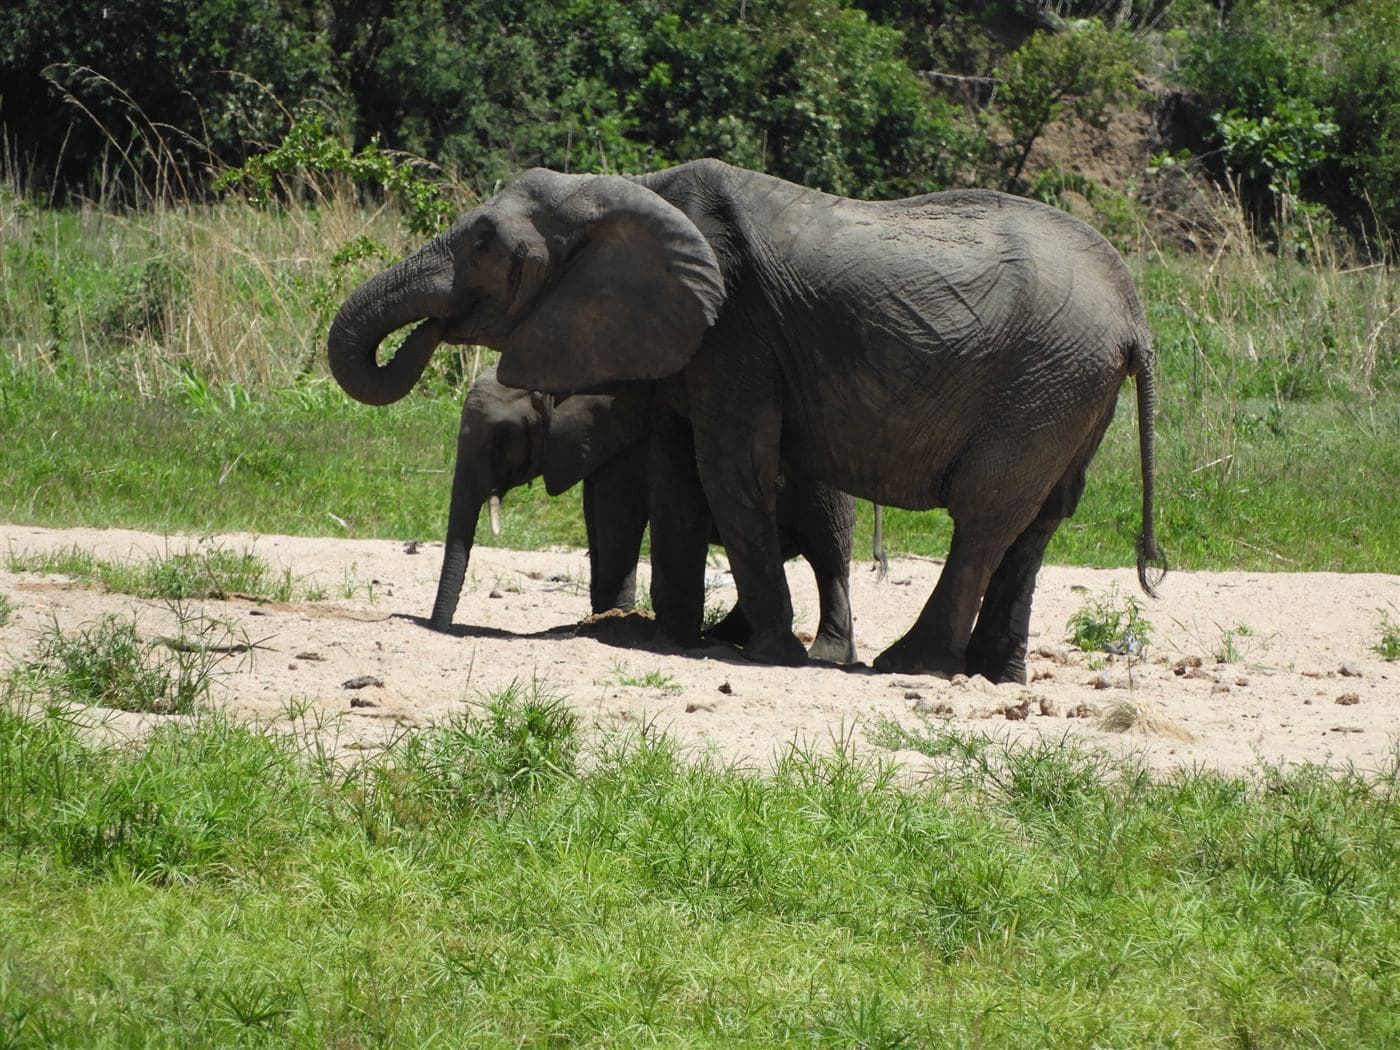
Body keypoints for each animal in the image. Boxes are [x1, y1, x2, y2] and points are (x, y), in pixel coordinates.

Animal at [426, 363, 859, 664]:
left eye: (503, 435)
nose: (439, 629)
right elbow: (596, 509)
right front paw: (607, 617)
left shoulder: (625, 425)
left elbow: (618, 508)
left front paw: (615, 619)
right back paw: (724, 636)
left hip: (824, 486)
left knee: (828, 555)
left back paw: (825, 653)